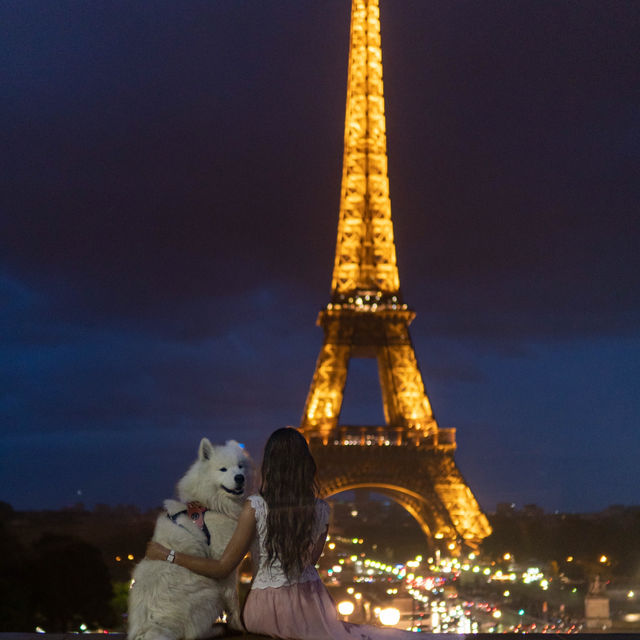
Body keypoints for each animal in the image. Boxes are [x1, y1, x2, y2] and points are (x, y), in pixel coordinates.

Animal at [127, 438, 250, 640]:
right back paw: (217, 629)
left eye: (240, 466)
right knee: (192, 633)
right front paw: (238, 626)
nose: (240, 477)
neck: (209, 505)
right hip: (211, 593)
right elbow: (233, 600)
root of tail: (150, 628)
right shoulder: (225, 565)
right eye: (223, 469)